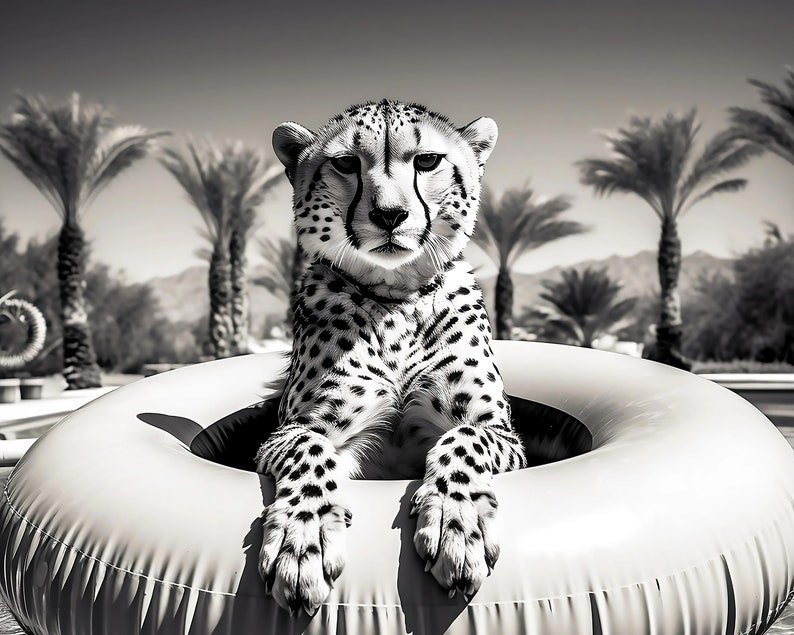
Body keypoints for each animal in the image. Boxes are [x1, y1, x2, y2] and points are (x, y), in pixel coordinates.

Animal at [255, 99, 527, 616]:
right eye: (345, 163)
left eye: (427, 161)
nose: (389, 214)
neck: (395, 298)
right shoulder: (291, 433)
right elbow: (312, 450)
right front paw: (304, 537)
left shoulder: (499, 432)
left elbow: (463, 437)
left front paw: (457, 521)